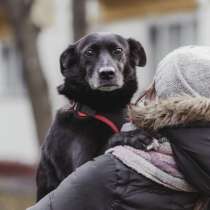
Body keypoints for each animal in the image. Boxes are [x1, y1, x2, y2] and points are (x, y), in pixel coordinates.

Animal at [35, 32, 146, 200]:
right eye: (89, 52)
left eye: (118, 51)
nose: (107, 73)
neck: (107, 107)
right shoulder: (80, 171)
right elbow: (110, 140)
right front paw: (133, 135)